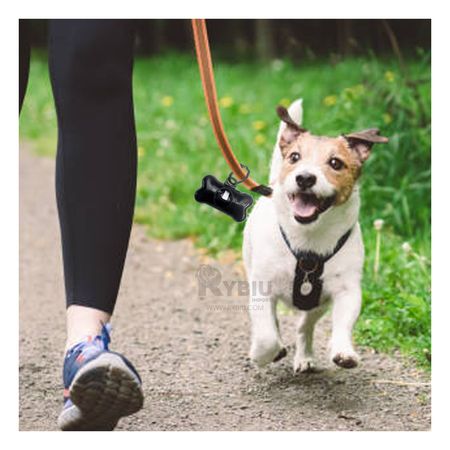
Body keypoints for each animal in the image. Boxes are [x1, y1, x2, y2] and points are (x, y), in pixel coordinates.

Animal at [243, 99, 386, 372]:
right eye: (295, 157)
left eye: (336, 163)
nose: (305, 177)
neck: (309, 238)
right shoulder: (261, 288)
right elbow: (266, 335)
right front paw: (262, 354)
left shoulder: (347, 291)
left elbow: (343, 323)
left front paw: (343, 351)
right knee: (274, 322)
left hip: (318, 304)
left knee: (304, 326)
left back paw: (304, 355)